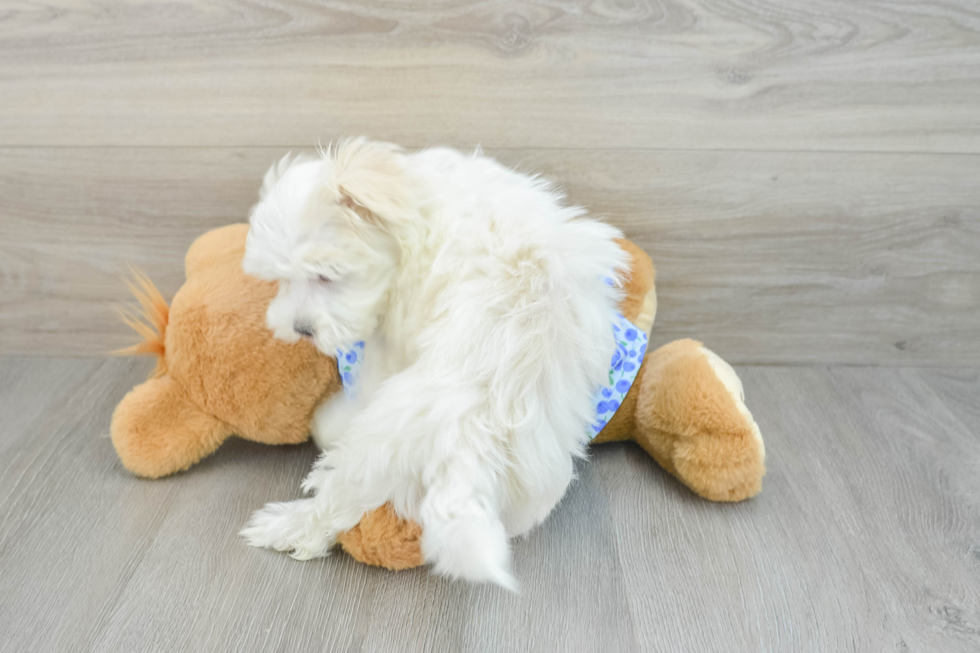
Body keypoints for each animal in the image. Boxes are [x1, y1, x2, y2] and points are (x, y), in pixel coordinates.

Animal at [243, 140, 628, 588]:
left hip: (382, 443)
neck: (411, 208)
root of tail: (475, 427)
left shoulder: (400, 325)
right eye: (281, 278)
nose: (300, 329)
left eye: (326, 275)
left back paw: (283, 526)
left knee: (339, 502)